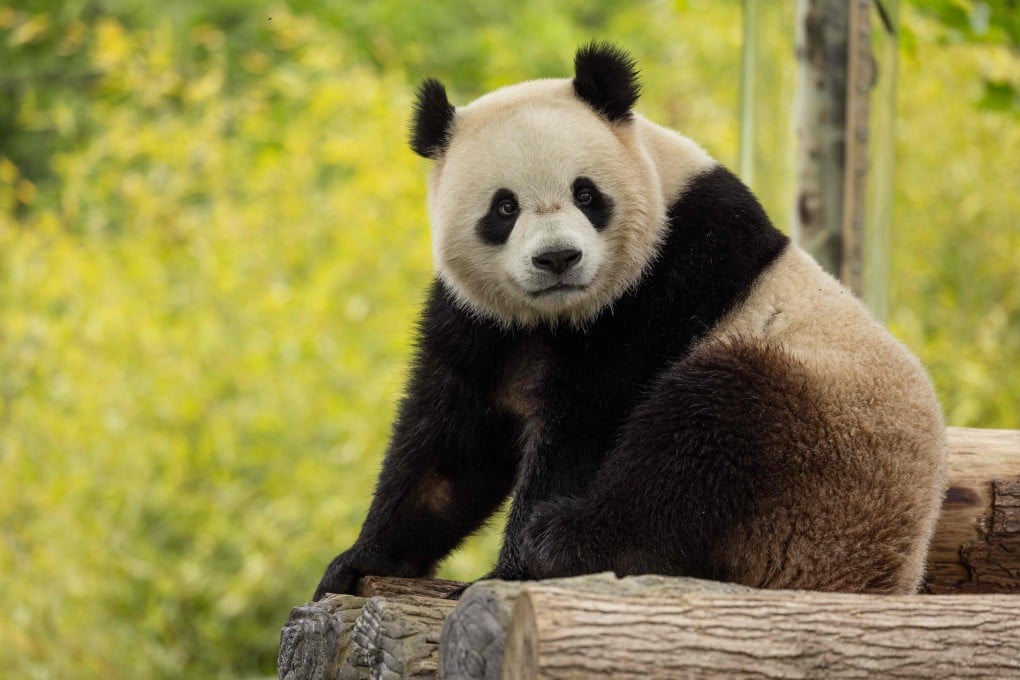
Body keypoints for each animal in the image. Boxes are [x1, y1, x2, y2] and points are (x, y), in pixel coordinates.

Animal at [314, 43, 947, 600]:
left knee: (703, 433)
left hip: (821, 449)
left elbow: (587, 425)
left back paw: (565, 540)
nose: (558, 258)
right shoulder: (483, 320)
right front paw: (358, 562)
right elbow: (452, 443)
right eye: (504, 207)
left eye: (586, 194)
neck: (557, 316)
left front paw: (509, 571)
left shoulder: (666, 281)